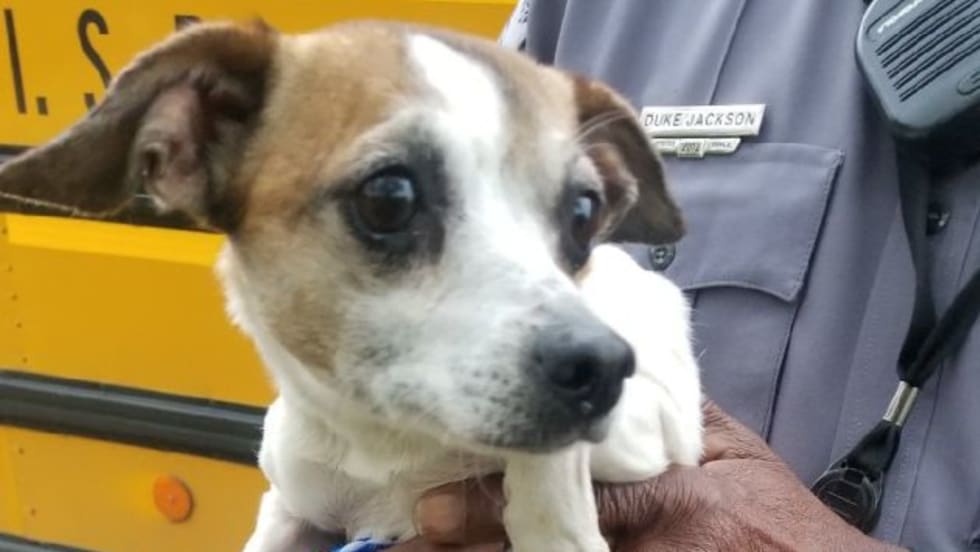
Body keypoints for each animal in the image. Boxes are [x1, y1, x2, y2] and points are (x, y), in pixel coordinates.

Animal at [0, 20, 703, 551]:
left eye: (584, 212)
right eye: (388, 197)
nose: (601, 365)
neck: (389, 445)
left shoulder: (660, 422)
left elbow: (551, 473)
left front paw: (553, 527)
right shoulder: (292, 503)